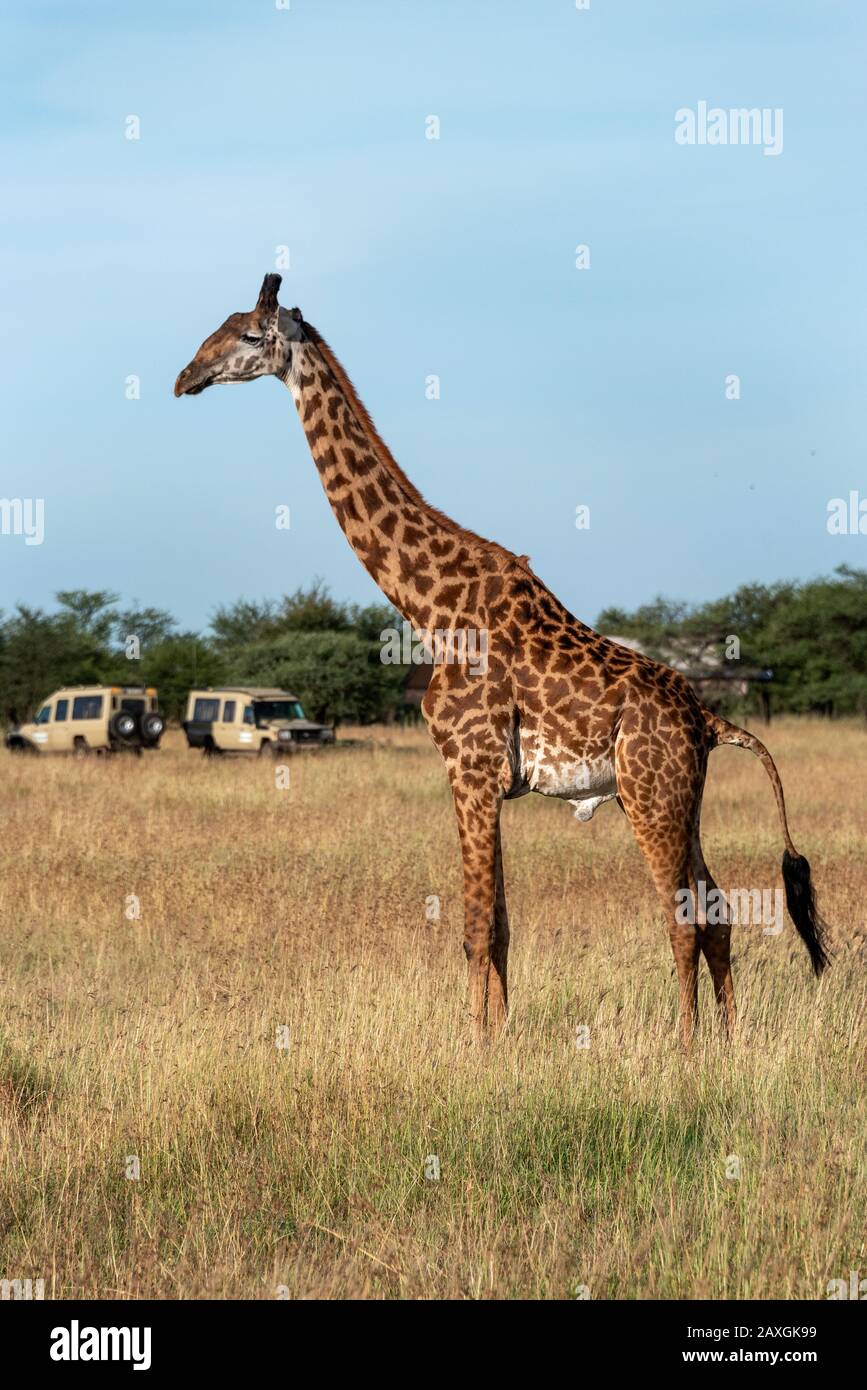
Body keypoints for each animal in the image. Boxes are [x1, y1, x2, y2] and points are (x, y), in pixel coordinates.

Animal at [175, 274, 830, 1044]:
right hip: (679, 798)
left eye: (250, 334)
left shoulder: (468, 767)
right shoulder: (492, 782)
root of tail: (709, 719)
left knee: (683, 917)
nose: (186, 377)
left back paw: (686, 1045)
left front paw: (474, 1045)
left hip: (648, 793)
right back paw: (728, 1042)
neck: (427, 606)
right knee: (719, 910)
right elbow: (504, 927)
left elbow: (472, 928)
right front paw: (503, 1038)